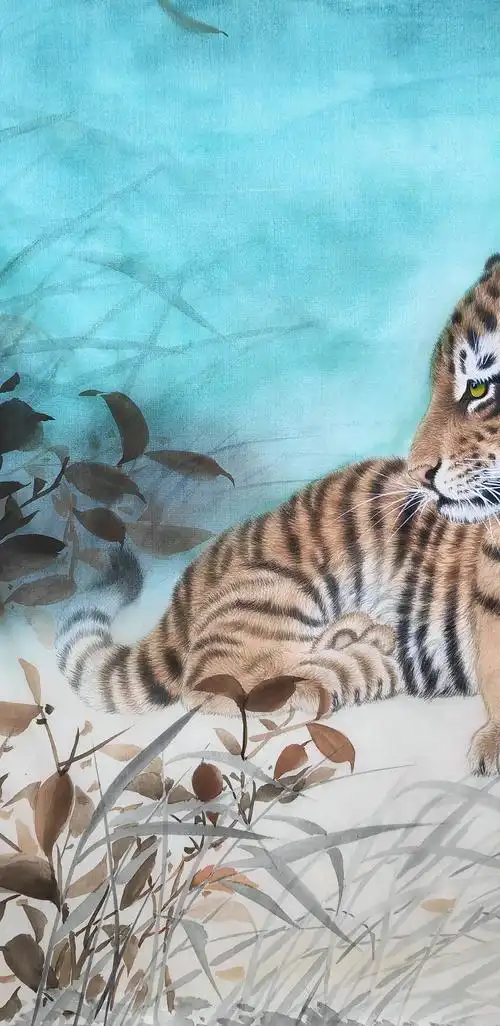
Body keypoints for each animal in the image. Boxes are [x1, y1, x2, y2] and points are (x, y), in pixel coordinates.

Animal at [55, 254, 500, 775]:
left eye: (477, 388)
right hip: (282, 590)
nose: (420, 472)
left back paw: (360, 637)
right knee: (214, 679)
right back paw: (352, 648)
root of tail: (193, 579)